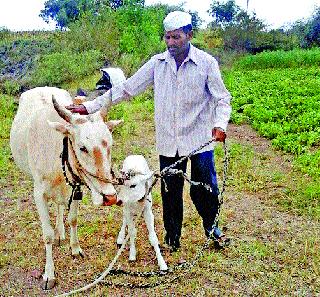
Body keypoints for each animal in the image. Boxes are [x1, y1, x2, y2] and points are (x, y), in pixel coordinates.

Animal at [9, 86, 121, 290]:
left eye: (110, 144)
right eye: (82, 147)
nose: (109, 197)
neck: (57, 152)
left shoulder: (76, 188)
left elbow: (73, 219)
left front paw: (75, 248)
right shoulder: (39, 194)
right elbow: (47, 235)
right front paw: (49, 274)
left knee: (60, 205)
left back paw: (60, 232)